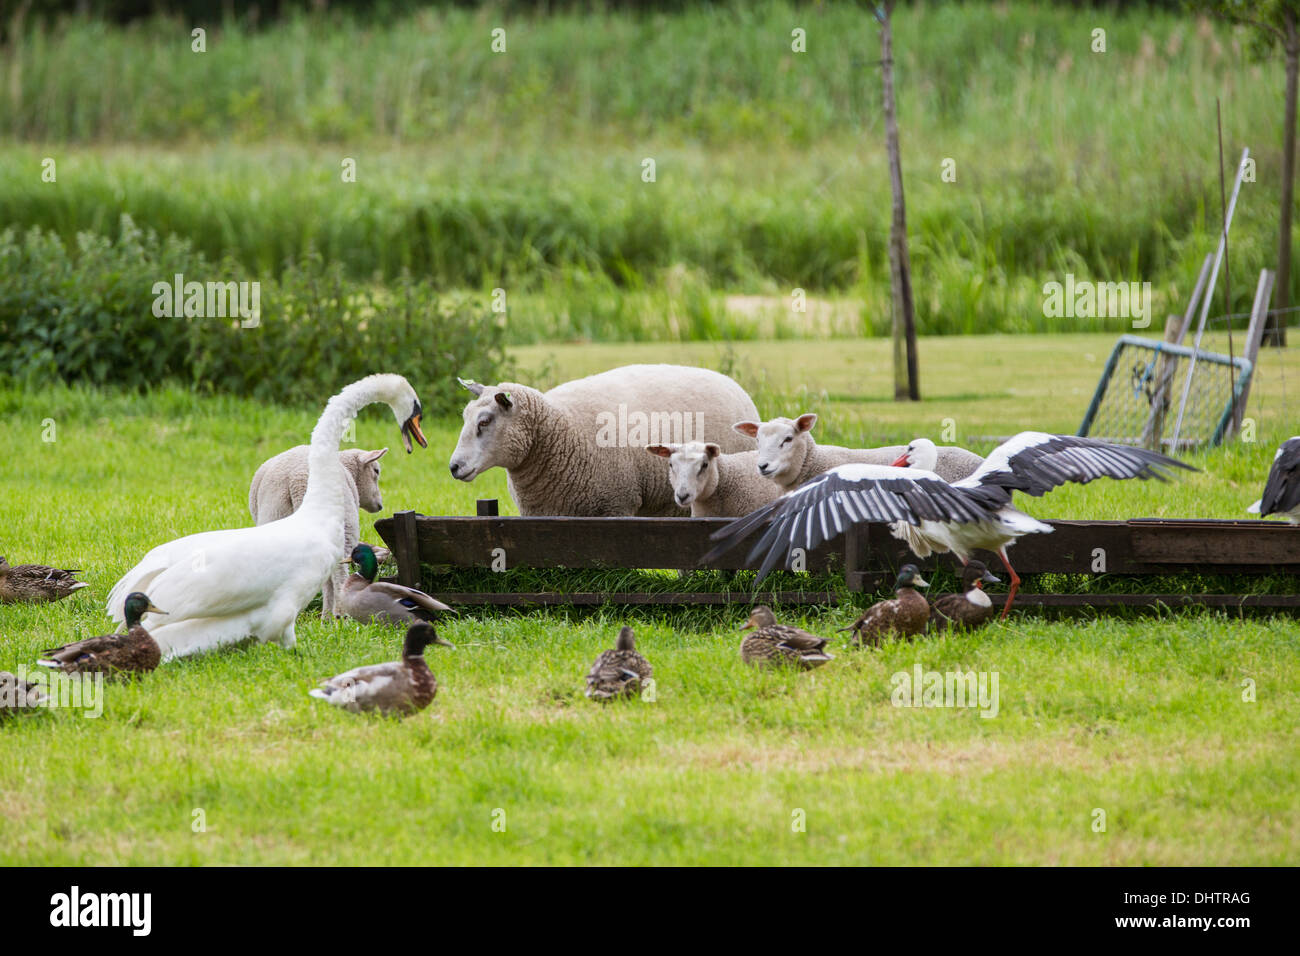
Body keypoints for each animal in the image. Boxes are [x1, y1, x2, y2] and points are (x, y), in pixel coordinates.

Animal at [248, 444, 387, 616]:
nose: (380, 505)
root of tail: (297, 480)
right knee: (339, 573)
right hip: (343, 524)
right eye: (376, 471)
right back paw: (342, 614)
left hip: (275, 516)